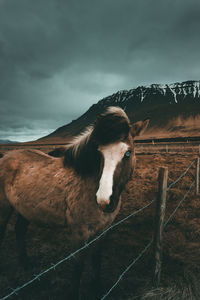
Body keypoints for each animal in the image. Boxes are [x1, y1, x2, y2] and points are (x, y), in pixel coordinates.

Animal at [0, 106, 148, 298]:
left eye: (128, 153)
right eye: (99, 153)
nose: (104, 200)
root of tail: (6, 156)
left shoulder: (103, 230)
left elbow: (97, 259)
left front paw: (97, 288)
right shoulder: (79, 233)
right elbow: (78, 268)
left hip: (25, 209)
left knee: (19, 230)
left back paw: (26, 264)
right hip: (4, 209)